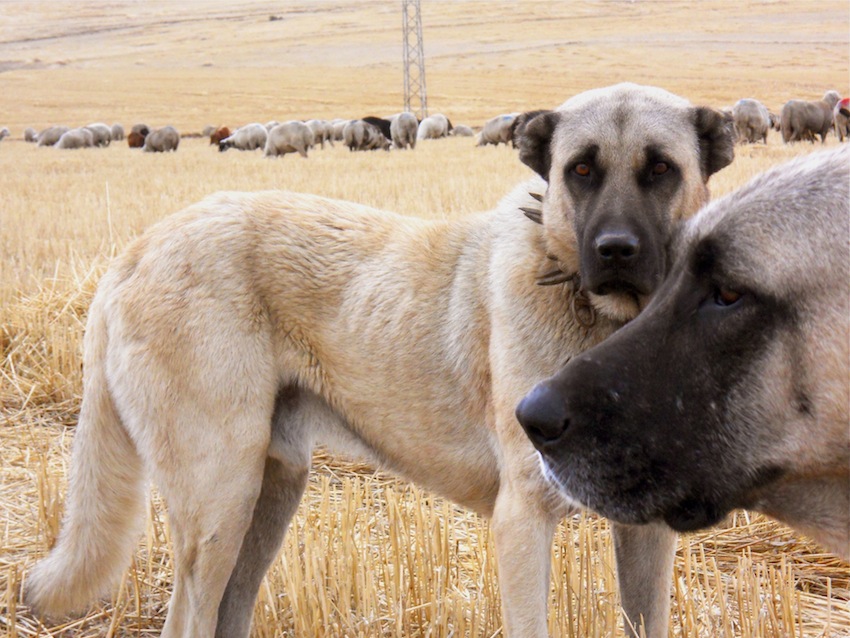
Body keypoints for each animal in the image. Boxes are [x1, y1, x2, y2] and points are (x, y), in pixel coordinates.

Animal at [23, 85, 732, 638]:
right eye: (580, 170)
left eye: (661, 169)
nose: (616, 250)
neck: (604, 319)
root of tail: (139, 248)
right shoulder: (523, 520)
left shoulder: (646, 532)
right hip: (219, 504)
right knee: (187, 618)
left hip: (268, 495)